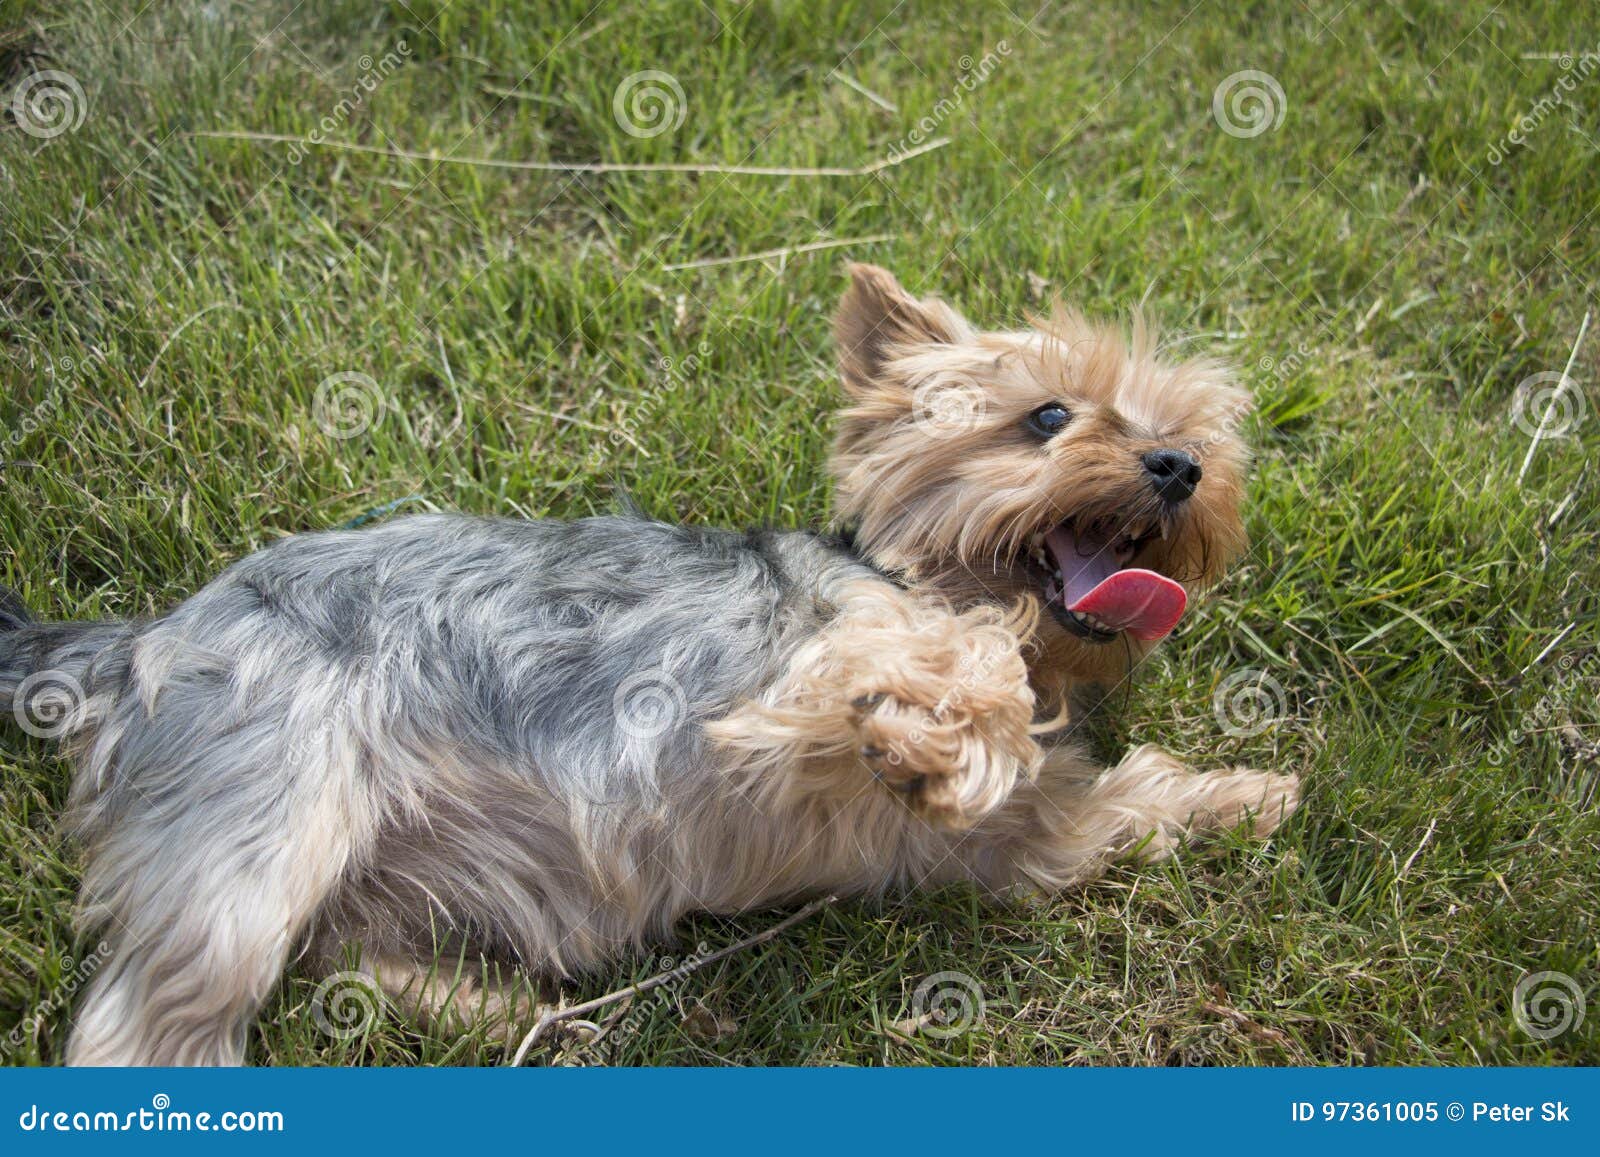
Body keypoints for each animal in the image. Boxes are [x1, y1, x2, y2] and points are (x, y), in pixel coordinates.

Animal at [0, 267, 1292, 1062]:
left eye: (1194, 435)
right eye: (1046, 417)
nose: (1178, 466)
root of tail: (140, 638)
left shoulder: (1024, 842)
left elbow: (1117, 805)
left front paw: (1244, 795)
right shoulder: (793, 688)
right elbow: (965, 671)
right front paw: (940, 731)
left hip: (358, 872)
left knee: (341, 962)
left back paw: (495, 1009)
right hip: (262, 818)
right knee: (161, 1009)